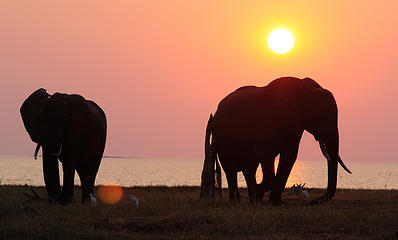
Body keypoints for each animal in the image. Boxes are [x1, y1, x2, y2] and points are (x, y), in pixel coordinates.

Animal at [201, 77, 350, 204]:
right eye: (321, 115)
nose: (312, 201)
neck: (305, 89)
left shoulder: (295, 125)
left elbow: (289, 156)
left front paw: (274, 202)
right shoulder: (269, 121)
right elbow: (265, 154)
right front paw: (261, 195)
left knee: (249, 168)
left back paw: (253, 199)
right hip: (220, 136)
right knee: (231, 170)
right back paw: (238, 200)